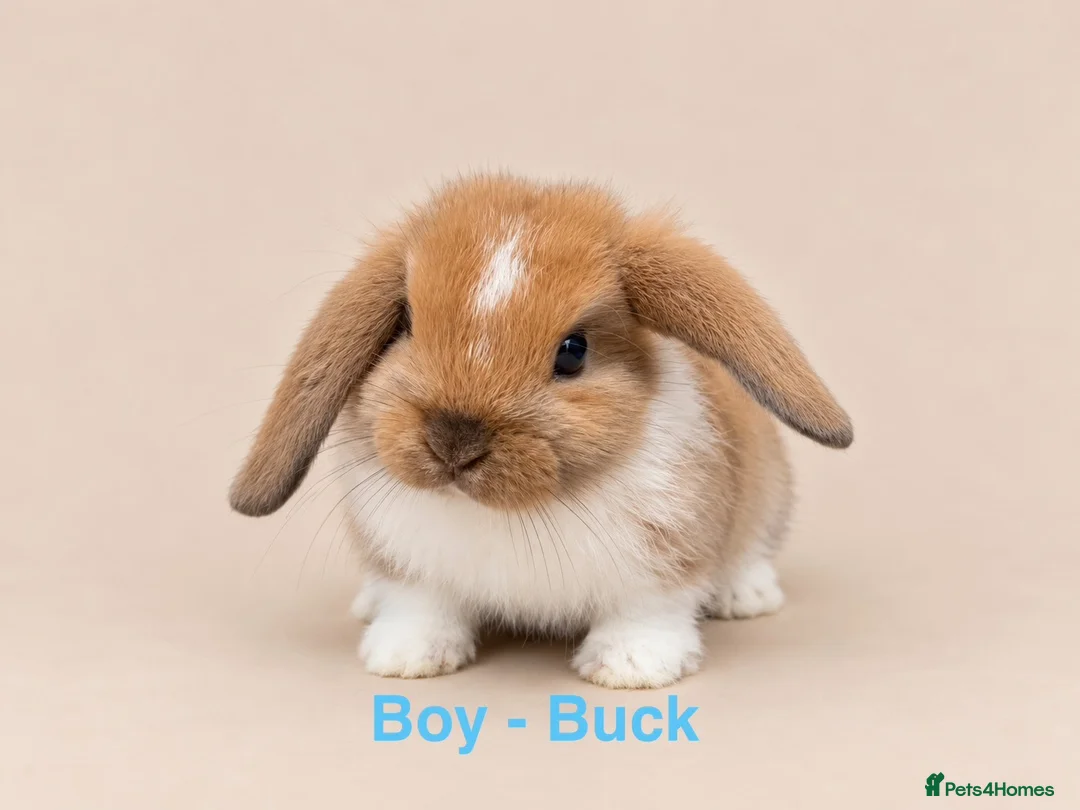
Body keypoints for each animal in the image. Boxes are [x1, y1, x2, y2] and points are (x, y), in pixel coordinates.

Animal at [229, 173, 853, 689]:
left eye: (573, 351)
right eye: (404, 324)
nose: (454, 441)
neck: (515, 512)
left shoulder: (663, 564)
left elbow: (646, 612)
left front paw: (629, 668)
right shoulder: (411, 567)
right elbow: (421, 607)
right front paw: (404, 658)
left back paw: (747, 596)